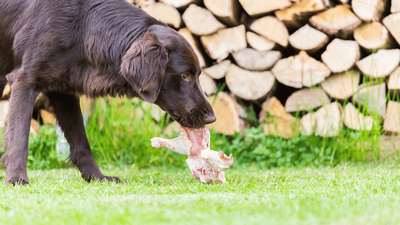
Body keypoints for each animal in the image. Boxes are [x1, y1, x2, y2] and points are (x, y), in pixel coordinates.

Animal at [0, 0, 216, 185]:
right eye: (185, 75)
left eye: (198, 74)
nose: (212, 118)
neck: (83, 27)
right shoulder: (24, 80)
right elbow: (19, 136)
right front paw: (16, 178)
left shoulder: (63, 90)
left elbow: (81, 140)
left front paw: (97, 177)